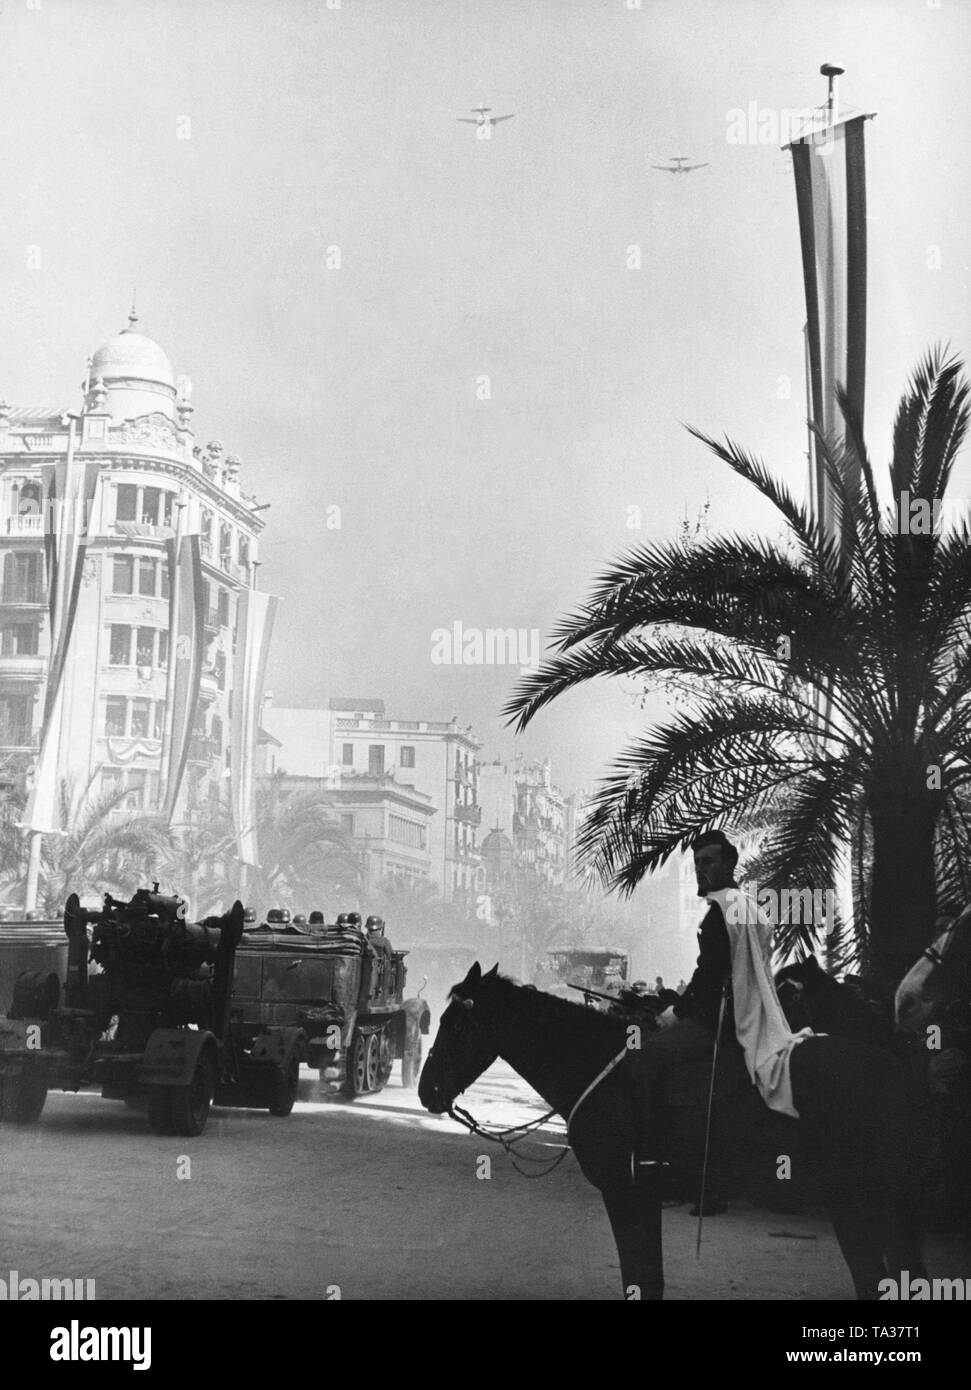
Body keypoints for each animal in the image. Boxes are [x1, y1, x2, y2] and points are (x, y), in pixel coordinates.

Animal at [422, 967, 927, 1301]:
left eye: (455, 1024)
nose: (427, 1090)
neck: (597, 1065)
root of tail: (899, 1070)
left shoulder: (624, 1192)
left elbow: (640, 1279)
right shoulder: (643, 1196)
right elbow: (650, 1280)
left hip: (854, 1203)